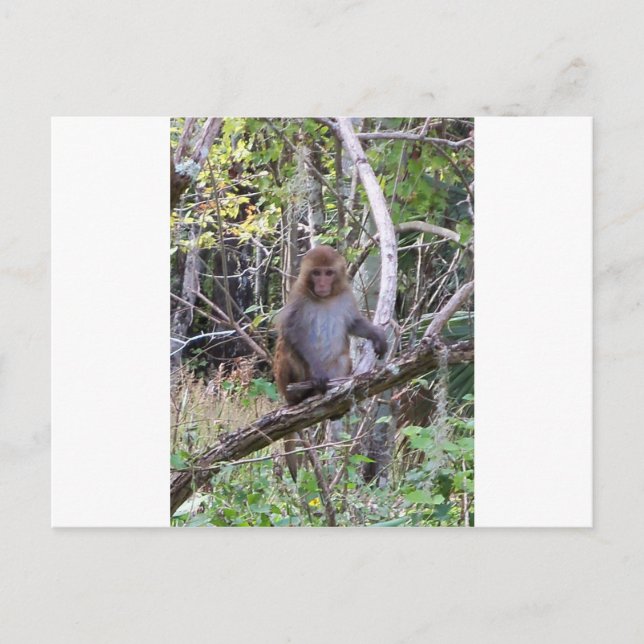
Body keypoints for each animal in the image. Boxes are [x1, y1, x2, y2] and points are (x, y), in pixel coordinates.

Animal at [273, 245, 387, 480]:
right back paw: (300, 395)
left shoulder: (345, 294)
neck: (324, 298)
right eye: (316, 273)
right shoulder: (298, 296)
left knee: (343, 358)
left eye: (328, 273)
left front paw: (377, 335)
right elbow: (291, 332)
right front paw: (317, 373)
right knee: (287, 347)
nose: (322, 284)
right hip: (284, 381)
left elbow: (353, 323)